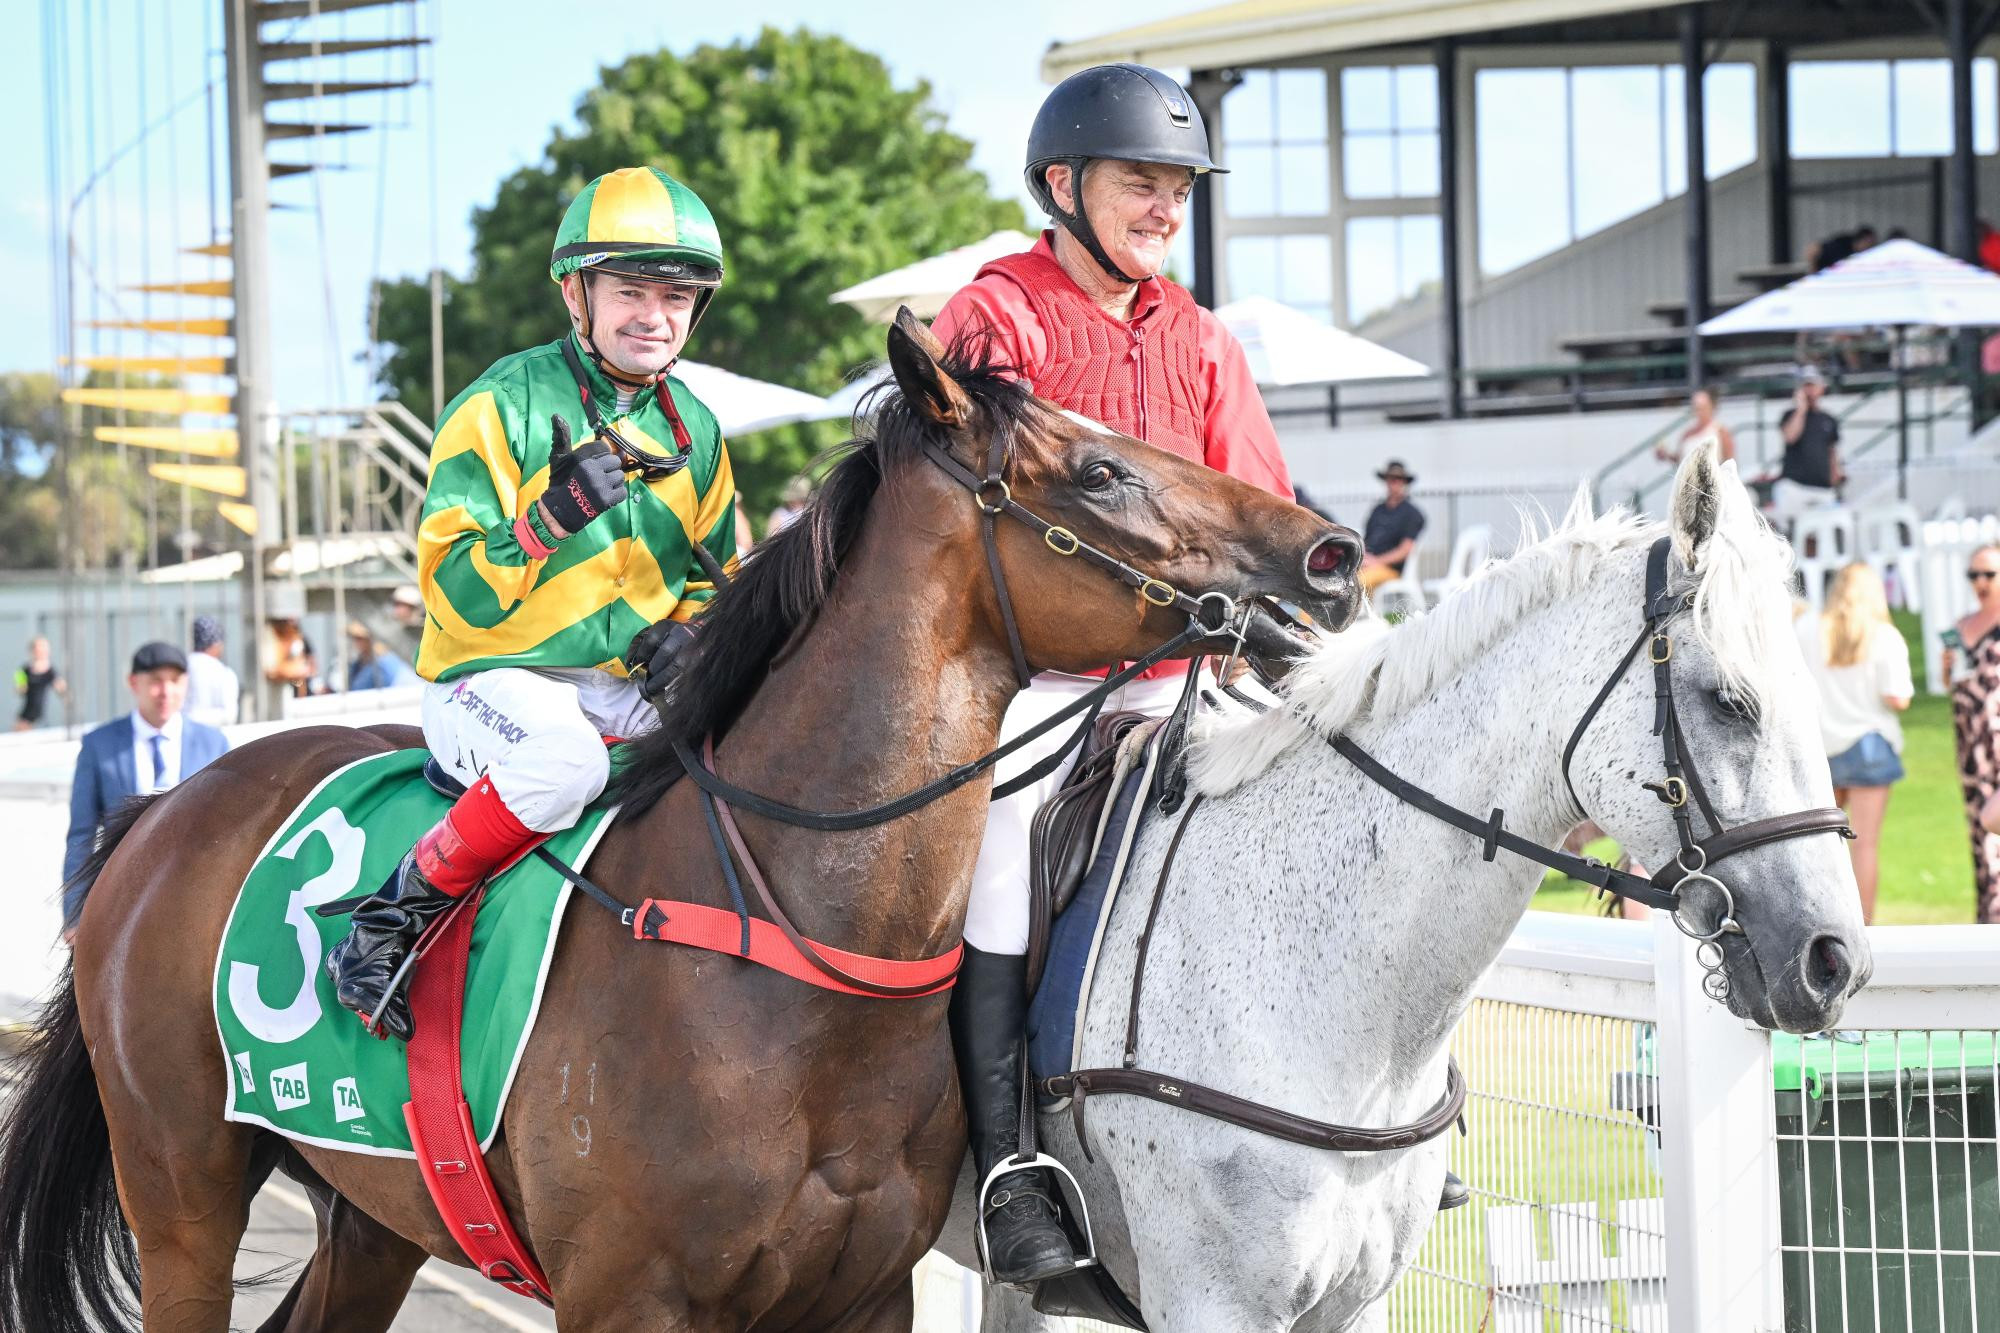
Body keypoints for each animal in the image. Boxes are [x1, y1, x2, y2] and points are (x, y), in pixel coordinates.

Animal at [0, 306, 1360, 1320]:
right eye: (1100, 470)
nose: (1331, 552)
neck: (794, 949)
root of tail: (164, 811)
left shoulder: (859, 1296)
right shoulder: (628, 1297)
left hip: (376, 1208)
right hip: (181, 1189)